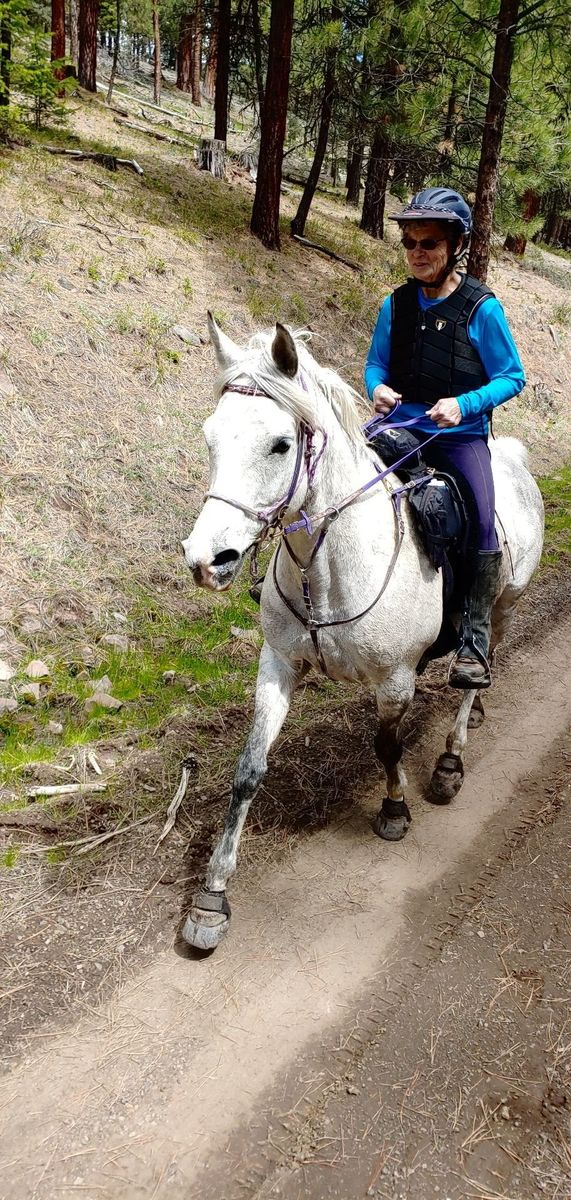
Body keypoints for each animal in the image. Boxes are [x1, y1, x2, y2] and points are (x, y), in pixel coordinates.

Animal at [181, 316, 544, 950]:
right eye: (211, 438)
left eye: (280, 444)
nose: (208, 560)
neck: (327, 566)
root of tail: (513, 455)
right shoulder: (277, 664)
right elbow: (248, 770)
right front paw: (212, 897)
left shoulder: (395, 678)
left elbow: (387, 745)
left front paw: (395, 811)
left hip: (503, 603)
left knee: (481, 660)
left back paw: (452, 756)